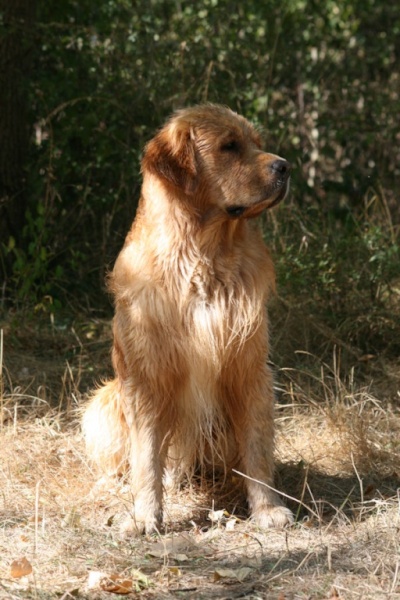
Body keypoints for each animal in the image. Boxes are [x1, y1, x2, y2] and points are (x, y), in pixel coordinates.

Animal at [82, 103, 294, 536]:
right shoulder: (147, 376)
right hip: (104, 401)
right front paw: (145, 515)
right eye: (229, 146)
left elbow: (257, 446)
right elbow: (146, 455)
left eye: (257, 143)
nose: (286, 167)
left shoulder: (248, 366)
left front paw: (267, 508)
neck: (203, 255)